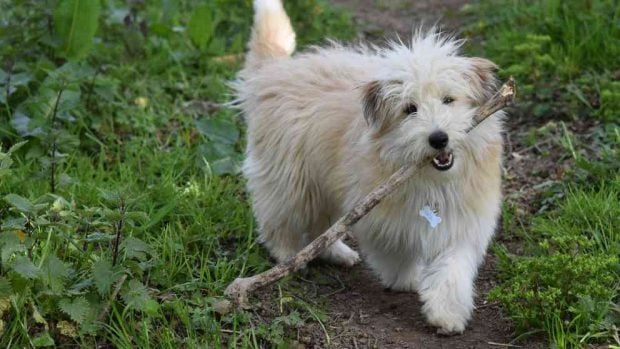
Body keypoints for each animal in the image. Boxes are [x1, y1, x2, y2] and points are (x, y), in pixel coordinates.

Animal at [232, 0, 504, 334]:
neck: (431, 179)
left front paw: (447, 313)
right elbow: (396, 250)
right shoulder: (380, 217)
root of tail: (276, 73)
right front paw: (407, 278)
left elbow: (453, 268)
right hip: (291, 178)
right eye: (410, 109)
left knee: (321, 226)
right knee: (282, 220)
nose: (439, 138)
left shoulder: (463, 220)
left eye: (448, 100)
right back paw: (289, 256)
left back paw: (337, 253)